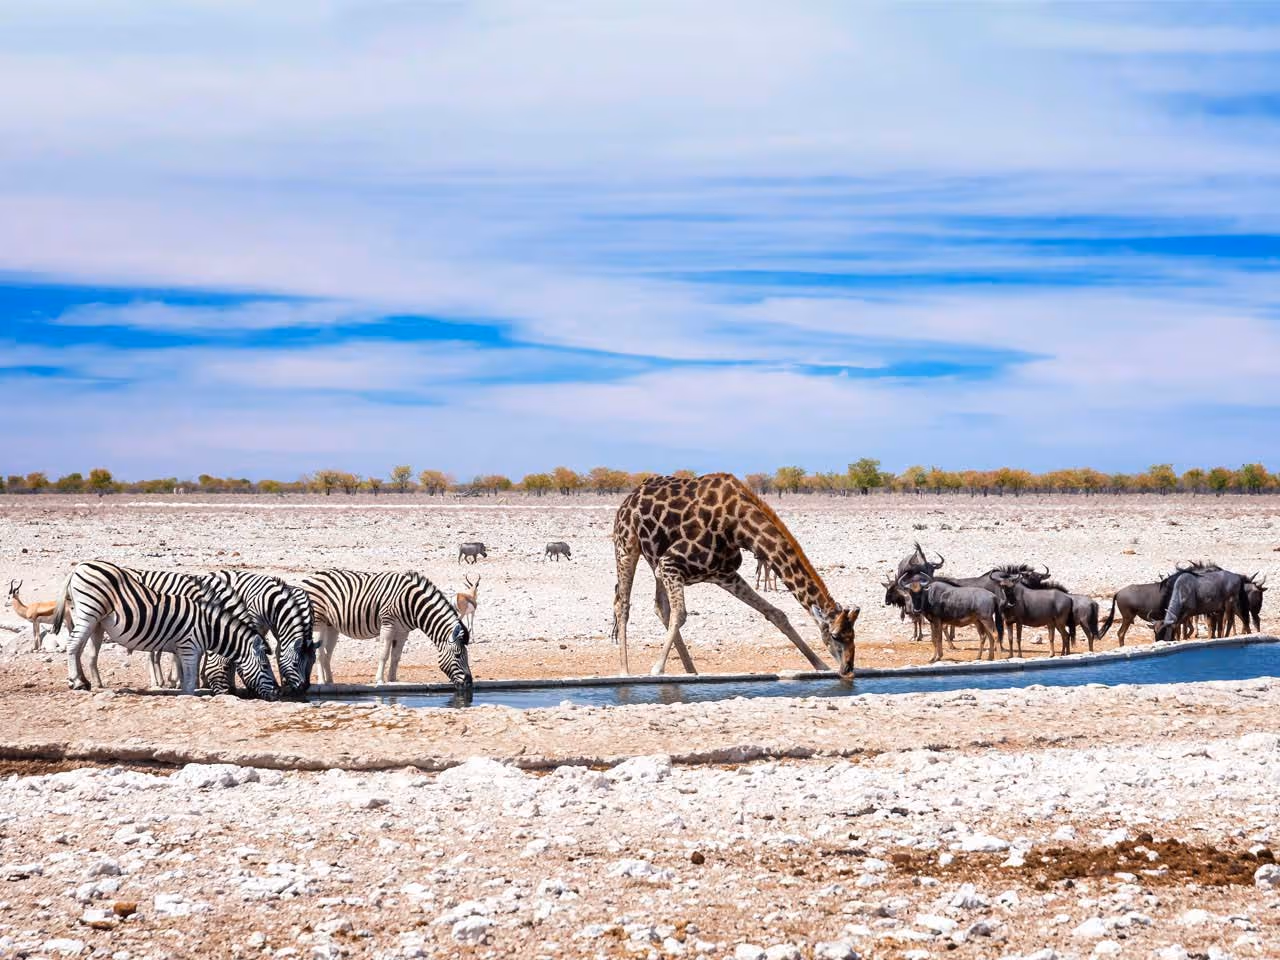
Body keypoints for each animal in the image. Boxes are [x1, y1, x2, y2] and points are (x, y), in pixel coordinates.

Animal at [53, 560, 279, 700]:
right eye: (266, 667)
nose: (277, 694)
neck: (208, 624)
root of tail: (79, 566)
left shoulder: (183, 644)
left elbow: (183, 667)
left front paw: (178, 684)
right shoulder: (188, 644)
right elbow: (187, 673)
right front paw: (185, 689)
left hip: (96, 621)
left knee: (84, 649)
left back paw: (88, 682)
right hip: (88, 612)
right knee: (73, 645)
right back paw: (77, 682)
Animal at [302, 569, 472, 690]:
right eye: (458, 655)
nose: (469, 683)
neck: (412, 604)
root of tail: (311, 576)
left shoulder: (403, 631)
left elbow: (396, 656)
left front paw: (393, 680)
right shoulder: (388, 623)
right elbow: (384, 654)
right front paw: (379, 679)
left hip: (331, 626)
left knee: (327, 654)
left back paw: (330, 681)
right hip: (319, 623)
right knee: (319, 652)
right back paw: (322, 681)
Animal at [611, 473, 859, 677]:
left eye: (853, 635)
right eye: (836, 636)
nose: (848, 668)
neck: (739, 526)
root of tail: (629, 498)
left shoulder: (724, 573)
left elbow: (775, 613)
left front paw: (820, 665)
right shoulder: (671, 562)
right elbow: (680, 614)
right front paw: (657, 669)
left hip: (655, 561)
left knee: (660, 607)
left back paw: (692, 670)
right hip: (627, 545)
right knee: (623, 605)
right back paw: (624, 672)